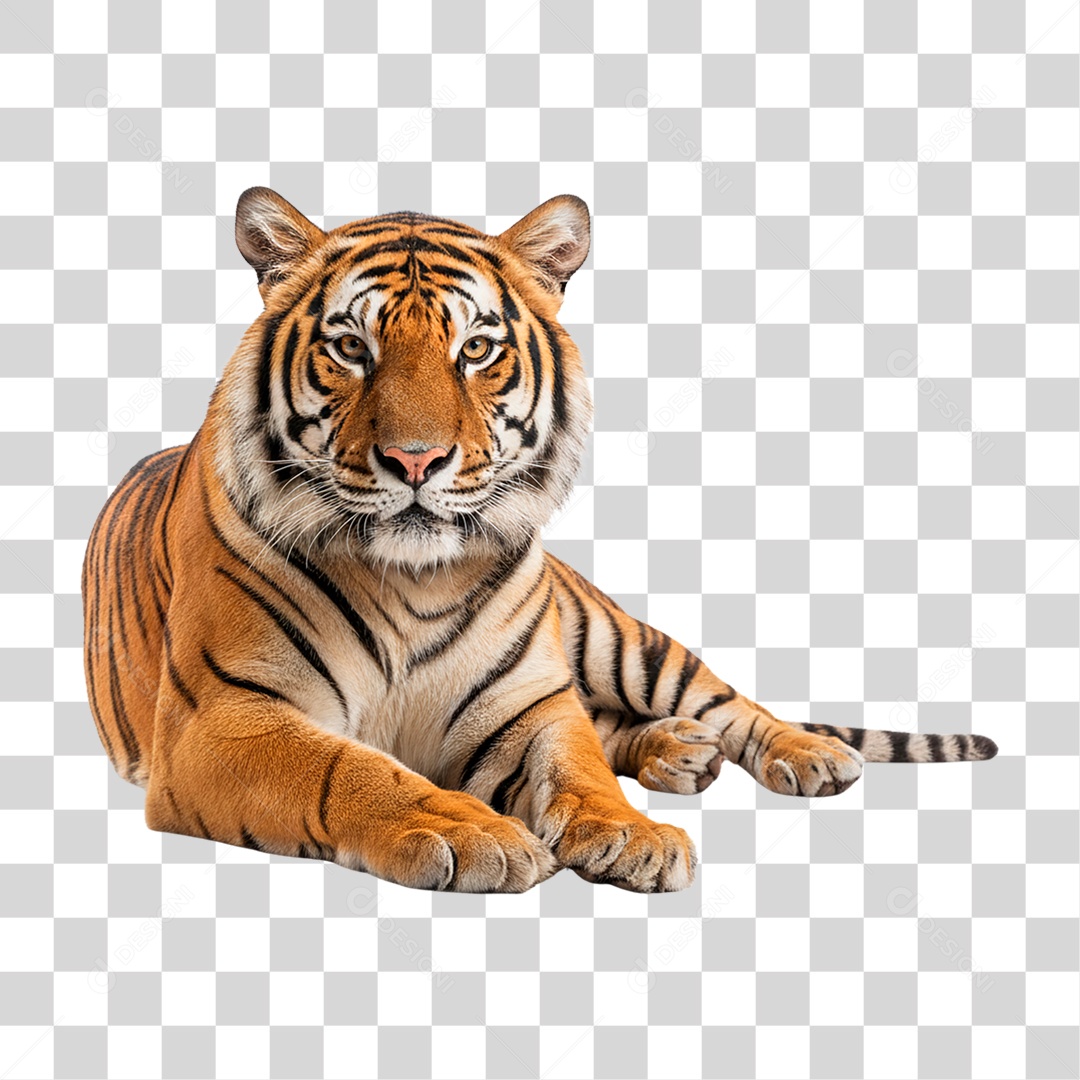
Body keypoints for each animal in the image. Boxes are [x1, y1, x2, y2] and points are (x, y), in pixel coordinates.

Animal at [82, 187, 998, 894]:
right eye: (350, 347)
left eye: (476, 349)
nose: (415, 460)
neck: (411, 580)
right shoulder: (222, 719)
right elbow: (348, 767)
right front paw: (474, 831)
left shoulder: (529, 700)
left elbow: (580, 763)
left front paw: (634, 833)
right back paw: (681, 755)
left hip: (619, 639)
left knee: (720, 701)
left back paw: (795, 753)